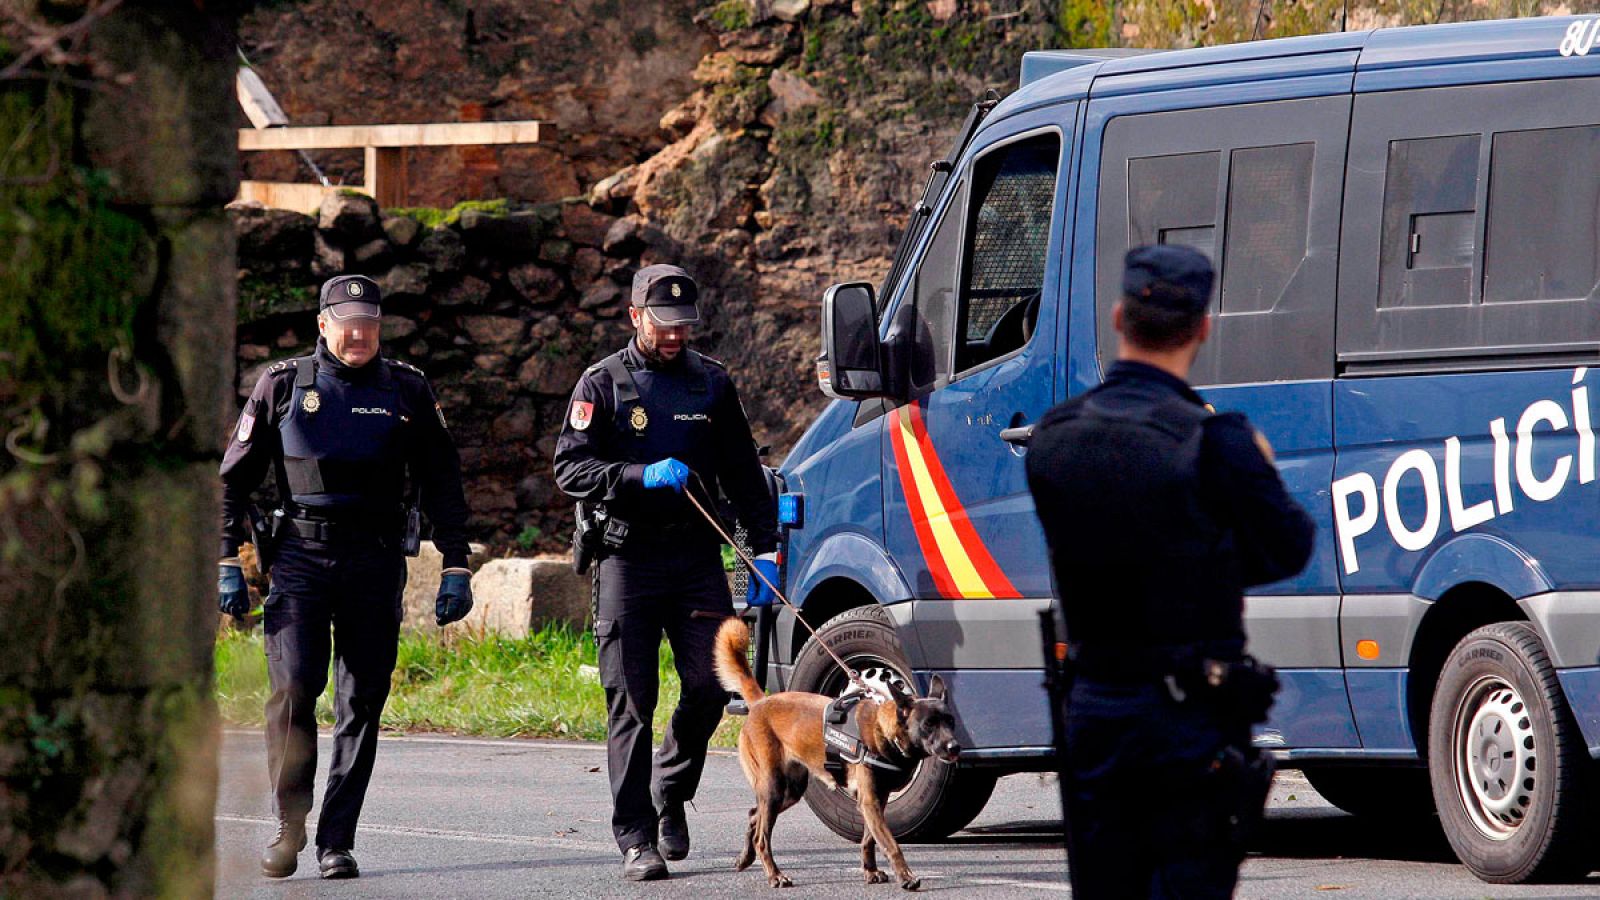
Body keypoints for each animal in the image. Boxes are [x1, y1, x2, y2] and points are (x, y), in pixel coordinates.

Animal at [716, 611, 960, 883]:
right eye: (929, 724)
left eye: (950, 721)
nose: (955, 747)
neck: (883, 731)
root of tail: (761, 702)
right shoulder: (870, 802)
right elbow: (890, 844)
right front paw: (906, 876)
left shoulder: (876, 801)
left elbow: (869, 840)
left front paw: (870, 870)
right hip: (774, 787)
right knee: (762, 836)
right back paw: (775, 874)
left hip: (790, 790)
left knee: (753, 816)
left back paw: (745, 858)